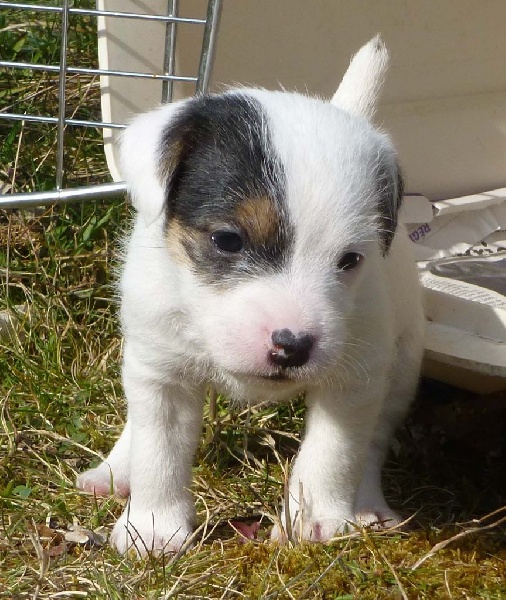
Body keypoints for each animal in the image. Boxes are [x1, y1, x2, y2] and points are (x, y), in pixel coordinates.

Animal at [77, 36, 424, 552]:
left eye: (350, 260)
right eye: (227, 239)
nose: (293, 346)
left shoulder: (354, 378)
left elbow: (336, 451)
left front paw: (317, 520)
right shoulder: (162, 373)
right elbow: (159, 449)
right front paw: (154, 529)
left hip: (399, 366)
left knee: (375, 437)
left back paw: (367, 504)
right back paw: (114, 469)